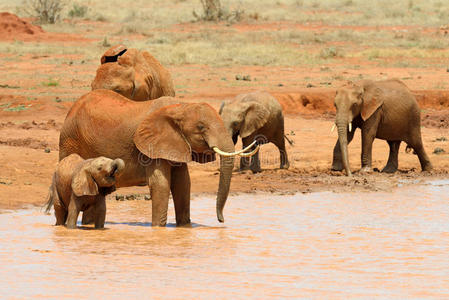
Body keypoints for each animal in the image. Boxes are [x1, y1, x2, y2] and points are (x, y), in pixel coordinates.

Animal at [60, 90, 258, 226]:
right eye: (201, 127)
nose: (221, 220)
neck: (180, 107)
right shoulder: (151, 147)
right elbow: (161, 184)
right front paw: (158, 229)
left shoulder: (177, 144)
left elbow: (183, 184)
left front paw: (185, 228)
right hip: (69, 140)